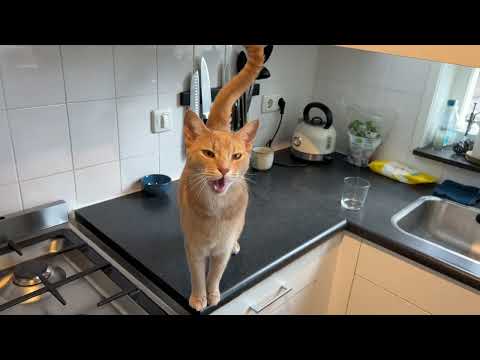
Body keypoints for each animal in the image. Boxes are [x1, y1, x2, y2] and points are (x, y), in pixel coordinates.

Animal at [178, 45, 264, 310]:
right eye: (208, 153)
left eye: (236, 156)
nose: (224, 169)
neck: (215, 208)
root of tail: (217, 126)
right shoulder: (194, 250)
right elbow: (197, 276)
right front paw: (199, 298)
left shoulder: (221, 252)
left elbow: (215, 274)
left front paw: (213, 294)